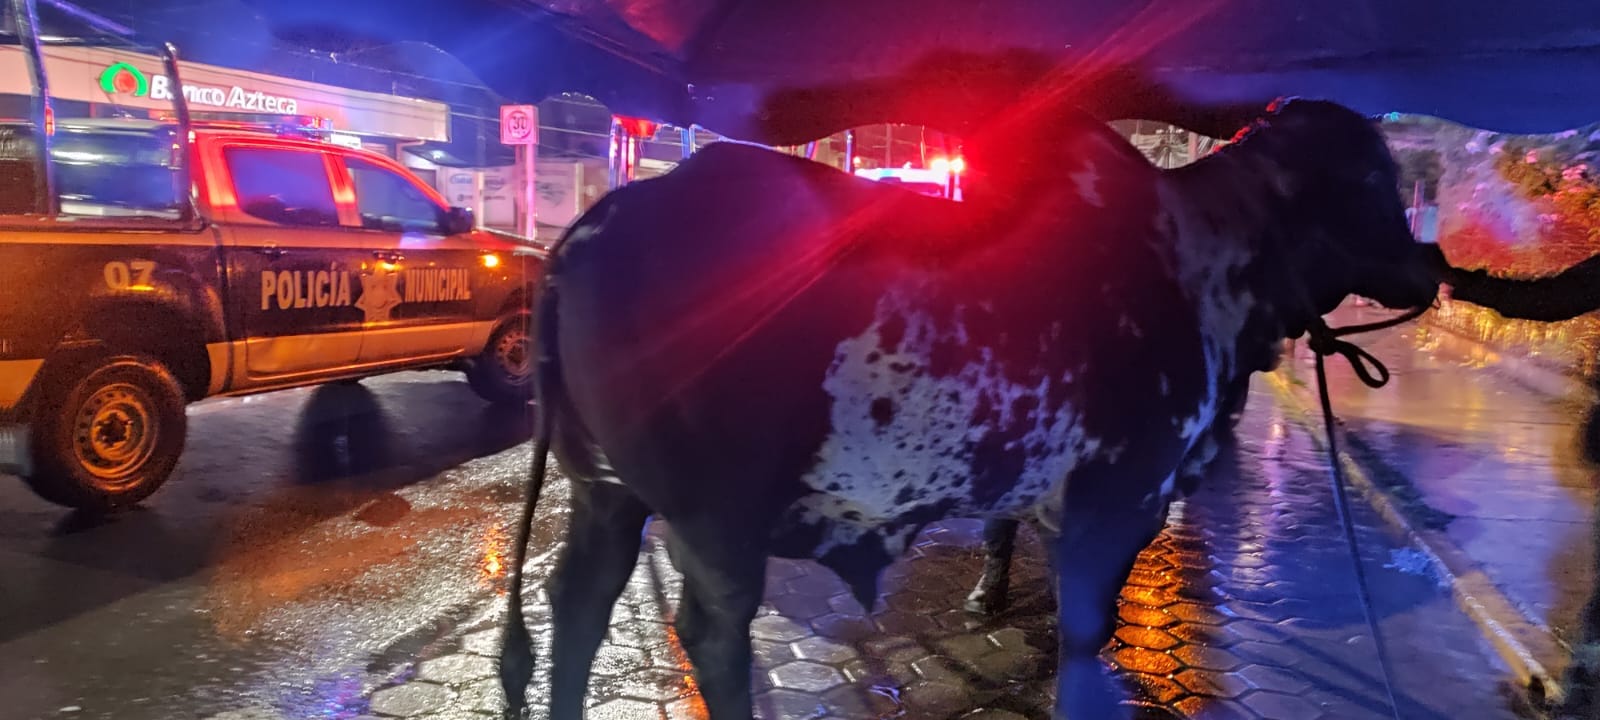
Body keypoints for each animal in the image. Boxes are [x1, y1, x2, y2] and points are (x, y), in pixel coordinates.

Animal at [499, 98, 1440, 716]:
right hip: (713, 517)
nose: (1430, 263)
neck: (1211, 257)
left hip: (606, 493)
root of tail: (594, 224)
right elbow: (1086, 639)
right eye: (1368, 173)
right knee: (710, 633)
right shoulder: (1117, 499)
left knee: (576, 606)